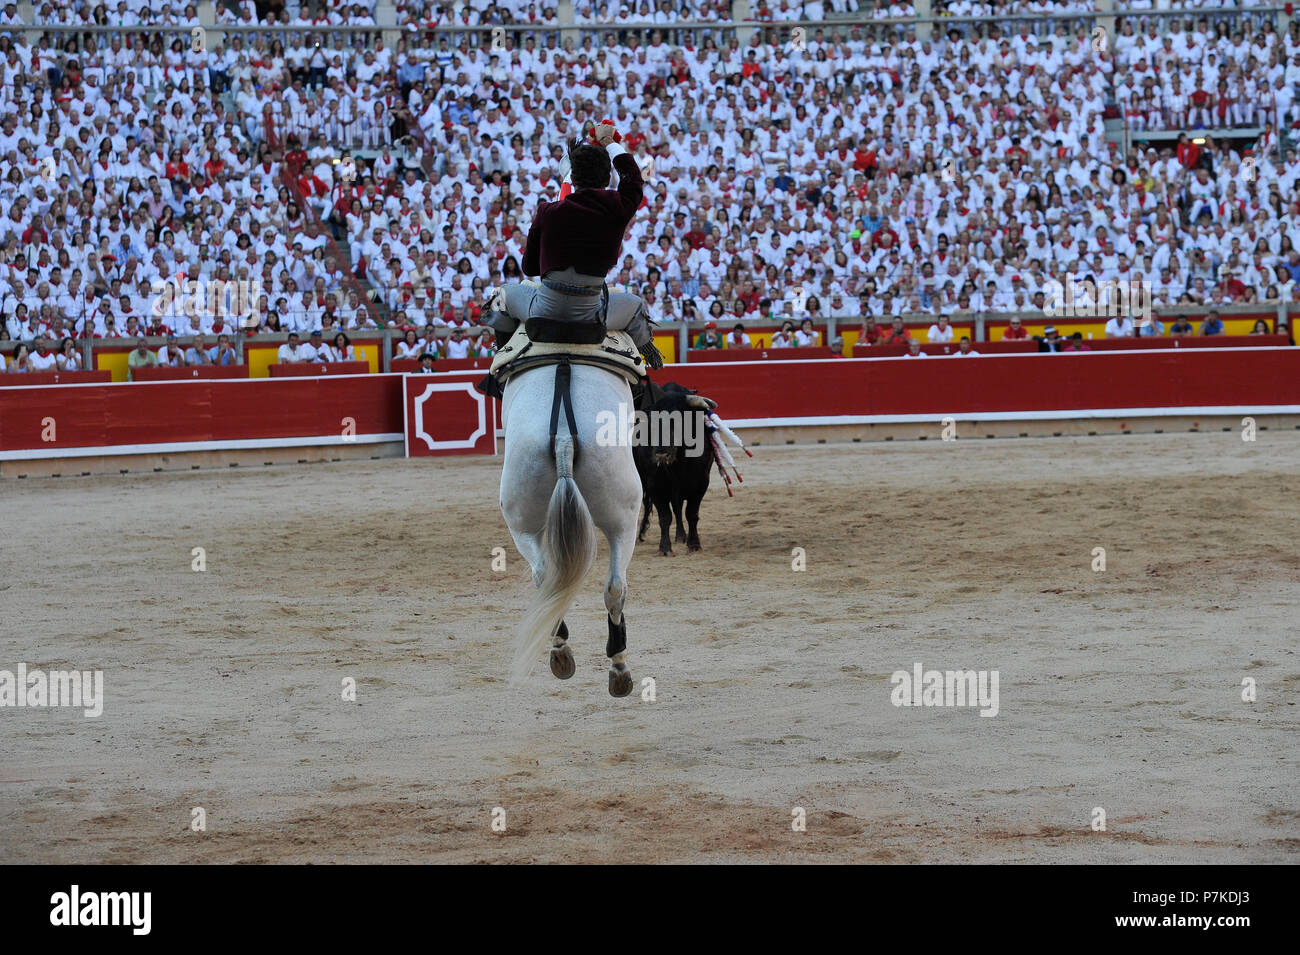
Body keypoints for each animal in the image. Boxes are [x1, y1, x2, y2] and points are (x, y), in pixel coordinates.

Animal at [499, 358, 642, 696]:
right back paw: (618, 666)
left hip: (521, 523)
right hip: (625, 520)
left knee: (544, 578)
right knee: (615, 586)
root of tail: (564, 437)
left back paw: (561, 651)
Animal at [629, 382, 712, 556]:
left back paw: (681, 536)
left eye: (679, 422)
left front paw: (694, 545)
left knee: (678, 507)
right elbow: (665, 517)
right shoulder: (655, 487)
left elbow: (692, 514)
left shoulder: (701, 484)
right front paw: (665, 549)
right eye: (651, 426)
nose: (661, 454)